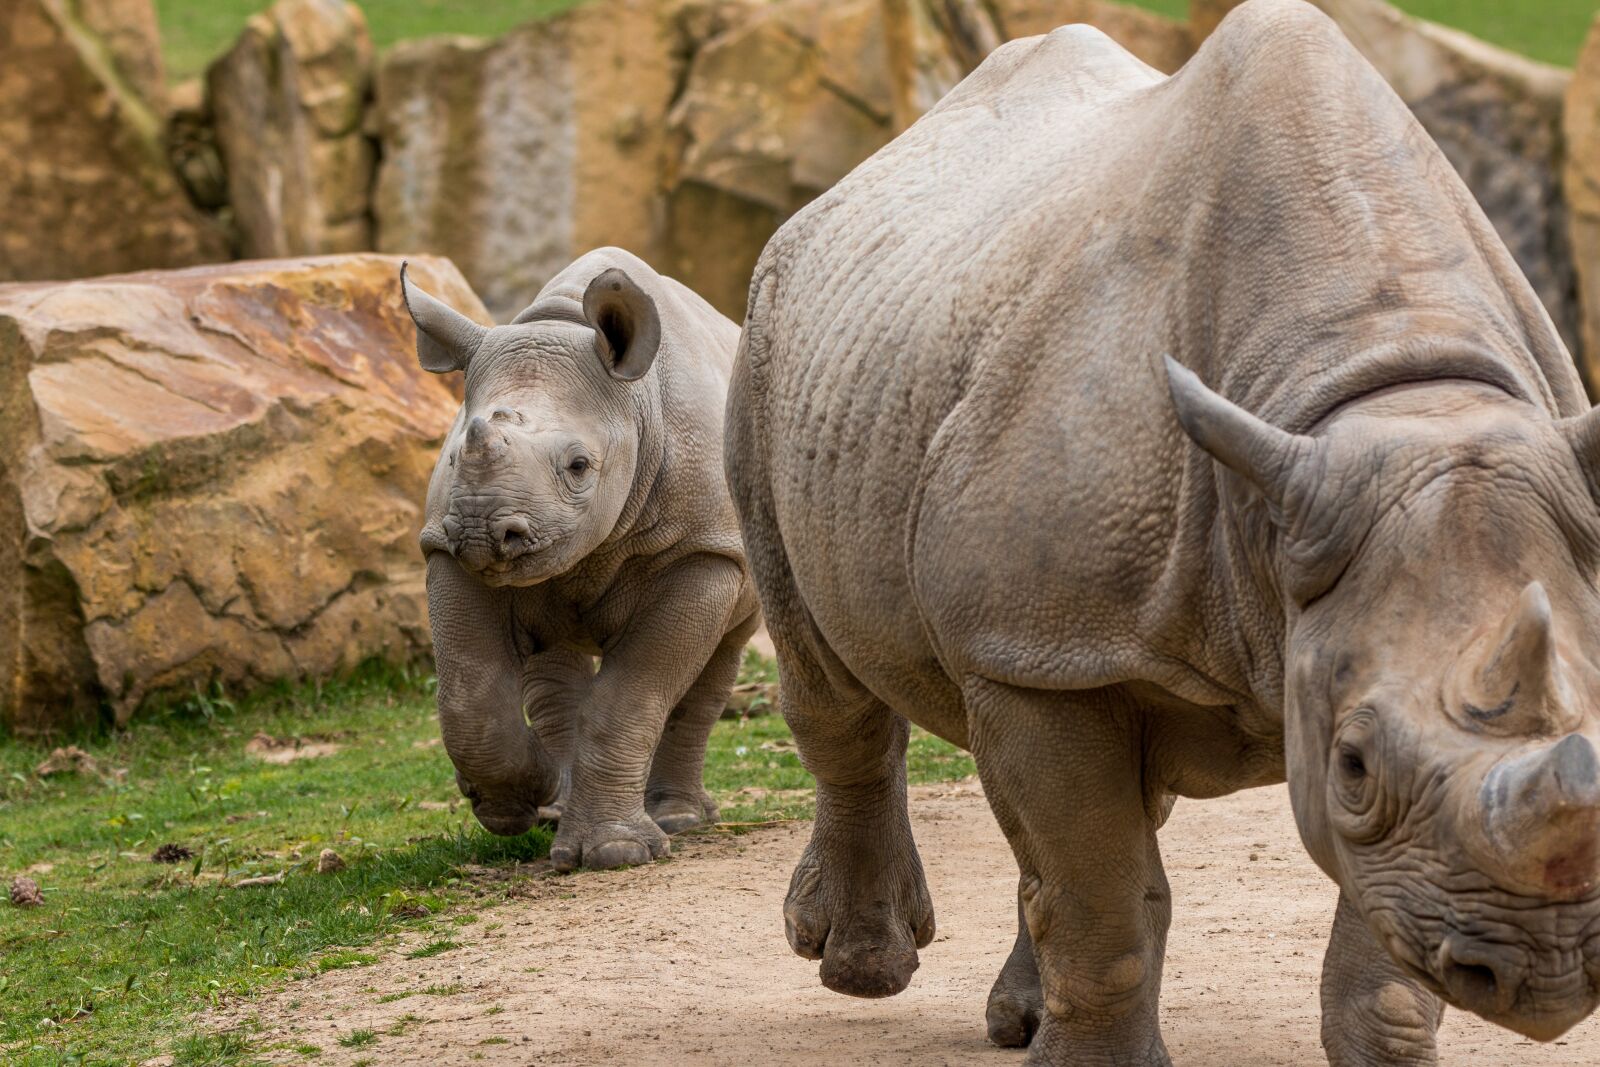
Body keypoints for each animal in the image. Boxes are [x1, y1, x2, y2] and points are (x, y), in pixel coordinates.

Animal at [404, 247, 758, 871]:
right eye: (451, 457)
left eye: (578, 466)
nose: (481, 531)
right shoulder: (444, 548)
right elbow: (469, 697)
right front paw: (514, 805)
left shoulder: (704, 552)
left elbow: (633, 695)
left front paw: (617, 853)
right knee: (554, 667)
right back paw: (555, 809)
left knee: (720, 658)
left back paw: (680, 819)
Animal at [723, 2, 1600, 1062]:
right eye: (1354, 762)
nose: (1541, 976)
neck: (1387, 380)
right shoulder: (1041, 638)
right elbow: (1102, 898)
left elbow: (1378, 947)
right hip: (772, 337)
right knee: (831, 679)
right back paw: (863, 969)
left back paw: (1015, 1017)